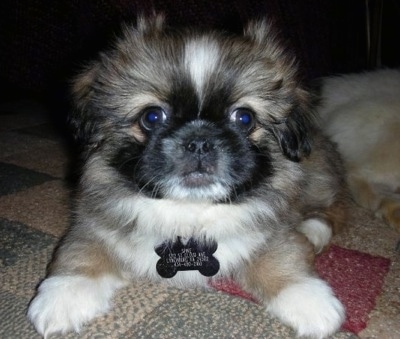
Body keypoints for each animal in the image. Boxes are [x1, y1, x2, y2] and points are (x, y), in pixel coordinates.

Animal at [26, 15, 348, 338]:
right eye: (152, 116)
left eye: (244, 118)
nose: (200, 141)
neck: (189, 212)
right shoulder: (93, 218)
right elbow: (81, 248)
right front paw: (64, 294)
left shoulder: (274, 226)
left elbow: (282, 254)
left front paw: (307, 298)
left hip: (316, 178)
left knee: (332, 207)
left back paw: (312, 231)